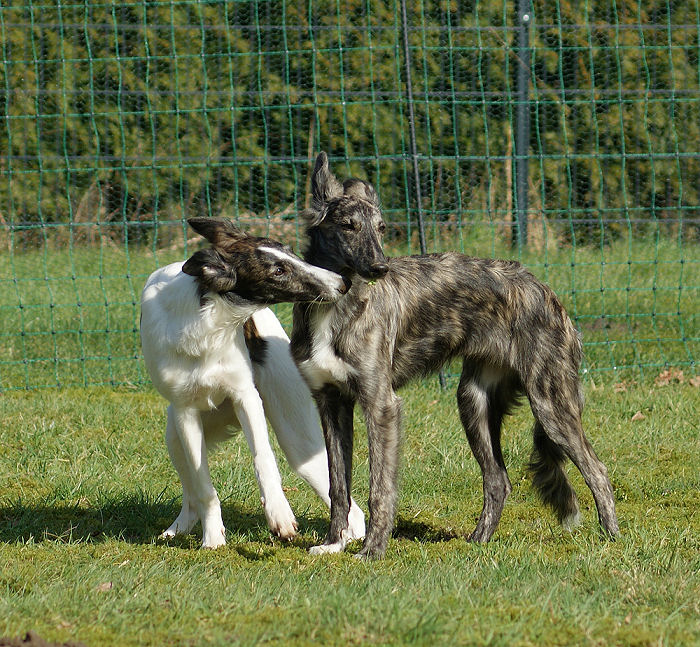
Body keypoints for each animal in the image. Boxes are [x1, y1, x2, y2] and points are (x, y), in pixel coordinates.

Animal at [139, 218, 364, 548]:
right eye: (278, 271)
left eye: (291, 253)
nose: (343, 283)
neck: (206, 323)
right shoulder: (185, 411)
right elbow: (204, 487)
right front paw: (213, 539)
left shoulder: (245, 396)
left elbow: (263, 458)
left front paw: (279, 516)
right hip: (174, 437)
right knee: (190, 490)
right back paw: (179, 528)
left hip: (299, 443)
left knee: (351, 508)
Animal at [290, 153, 616, 560]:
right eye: (349, 227)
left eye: (381, 228)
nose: (381, 268)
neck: (337, 304)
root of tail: (546, 292)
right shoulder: (331, 402)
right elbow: (338, 485)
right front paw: (334, 543)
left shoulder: (380, 404)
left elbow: (380, 485)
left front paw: (373, 550)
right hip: (473, 401)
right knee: (498, 481)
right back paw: (478, 542)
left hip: (551, 404)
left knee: (598, 471)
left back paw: (612, 539)